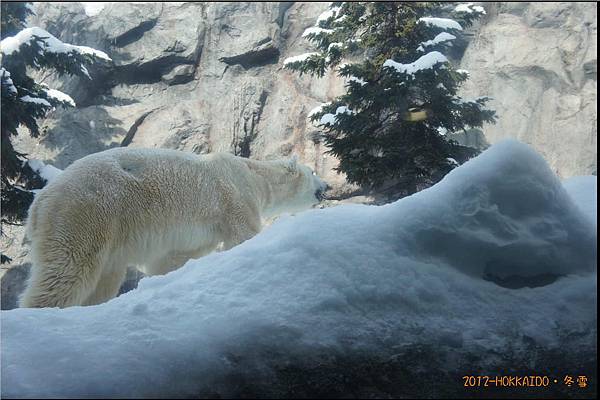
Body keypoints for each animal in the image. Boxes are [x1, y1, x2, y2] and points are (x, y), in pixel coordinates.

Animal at [19, 148, 328, 308]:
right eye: (313, 171)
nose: (326, 186)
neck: (254, 175)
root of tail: (39, 202)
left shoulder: (197, 235)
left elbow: (173, 259)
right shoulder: (234, 198)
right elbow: (244, 235)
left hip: (108, 232)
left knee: (105, 276)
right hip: (86, 213)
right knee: (68, 270)